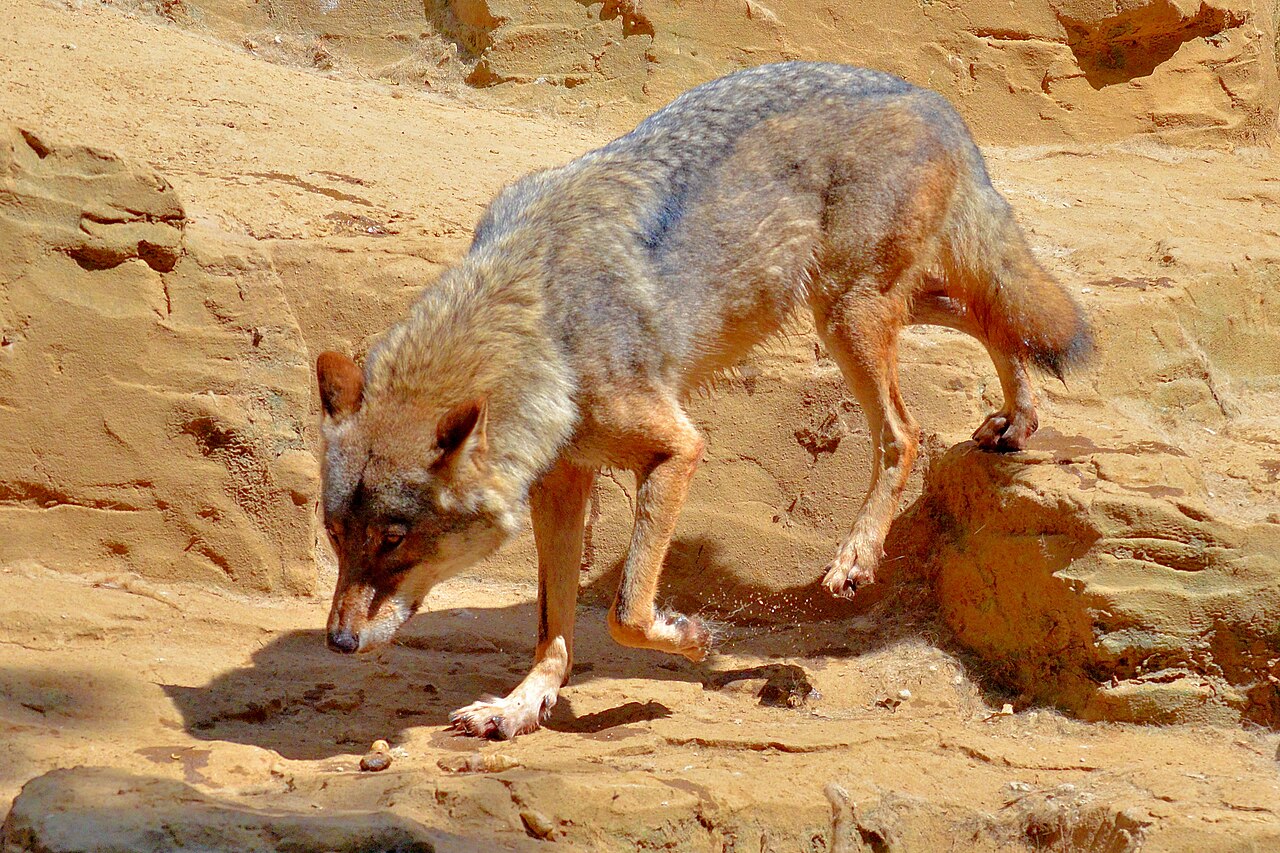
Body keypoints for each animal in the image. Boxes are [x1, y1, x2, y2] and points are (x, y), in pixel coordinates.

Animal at [315, 62, 1091, 739]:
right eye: (335, 536)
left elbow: (627, 610)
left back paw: (855, 558)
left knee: (905, 432)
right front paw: (521, 706)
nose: (339, 642)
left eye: (394, 539)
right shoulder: (561, 484)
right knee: (988, 314)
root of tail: (931, 99)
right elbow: (553, 627)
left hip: (848, 318)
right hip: (850, 306)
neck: (542, 318)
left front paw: (692, 638)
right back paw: (1017, 421)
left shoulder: (678, 449)